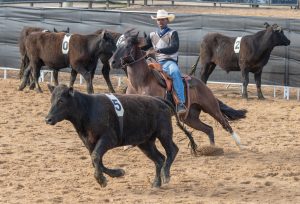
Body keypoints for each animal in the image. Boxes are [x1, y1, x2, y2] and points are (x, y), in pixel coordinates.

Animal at [44, 84, 198, 188]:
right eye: (51, 99)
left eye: (61, 100)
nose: (48, 119)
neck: (88, 109)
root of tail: (159, 100)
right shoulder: (89, 143)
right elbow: (96, 160)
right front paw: (117, 173)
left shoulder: (108, 139)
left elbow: (96, 157)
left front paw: (102, 180)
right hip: (145, 142)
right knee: (159, 159)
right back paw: (156, 183)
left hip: (164, 133)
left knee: (172, 150)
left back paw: (166, 175)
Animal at [110, 30, 246, 148]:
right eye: (117, 45)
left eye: (127, 46)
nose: (112, 62)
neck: (142, 81)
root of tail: (203, 85)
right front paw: (128, 145)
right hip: (190, 117)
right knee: (209, 129)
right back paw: (212, 149)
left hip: (211, 107)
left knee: (225, 124)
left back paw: (240, 145)